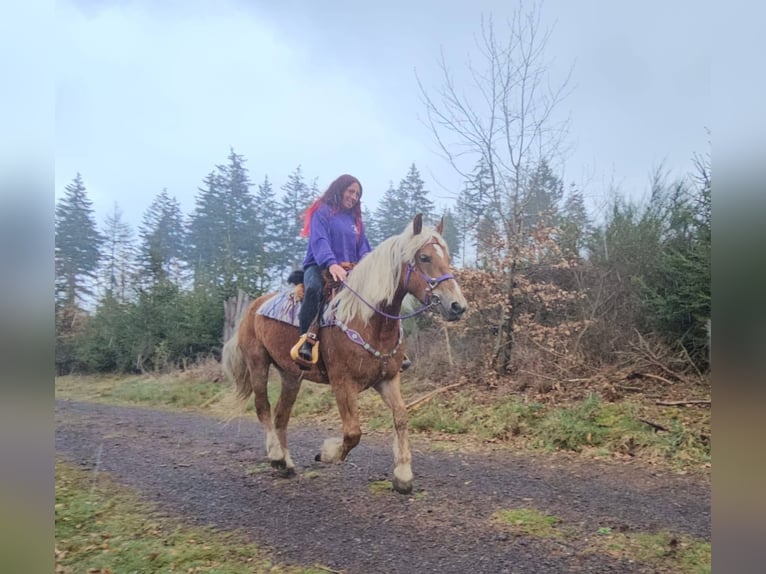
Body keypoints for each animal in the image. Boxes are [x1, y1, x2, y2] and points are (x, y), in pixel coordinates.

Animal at [224, 214, 467, 494]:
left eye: (446, 257)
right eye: (425, 257)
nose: (457, 306)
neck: (368, 321)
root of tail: (253, 307)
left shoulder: (387, 379)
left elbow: (401, 417)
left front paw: (403, 475)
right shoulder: (342, 382)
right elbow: (353, 432)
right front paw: (327, 453)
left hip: (291, 375)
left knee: (281, 415)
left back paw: (285, 463)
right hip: (258, 363)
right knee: (263, 407)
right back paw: (275, 455)